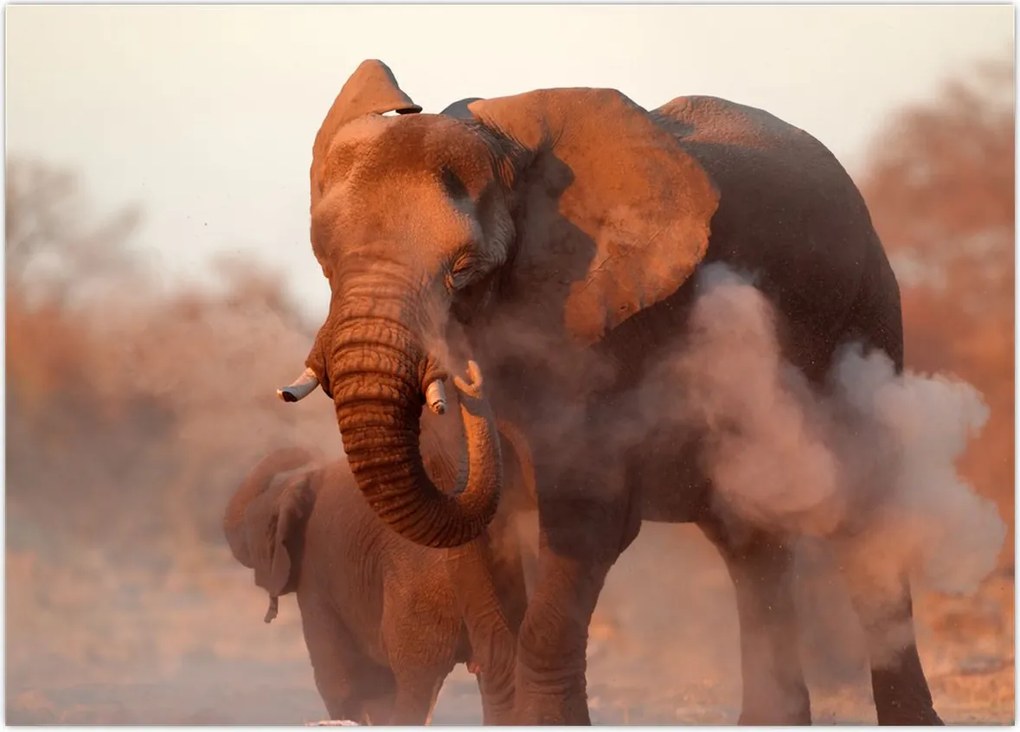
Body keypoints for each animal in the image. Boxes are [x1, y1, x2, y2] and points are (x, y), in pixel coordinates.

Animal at [275, 59, 943, 725]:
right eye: (325, 258)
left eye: (464, 270)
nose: (468, 379)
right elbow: (477, 549)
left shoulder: (609, 329)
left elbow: (585, 520)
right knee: (750, 540)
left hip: (866, 316)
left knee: (865, 519)